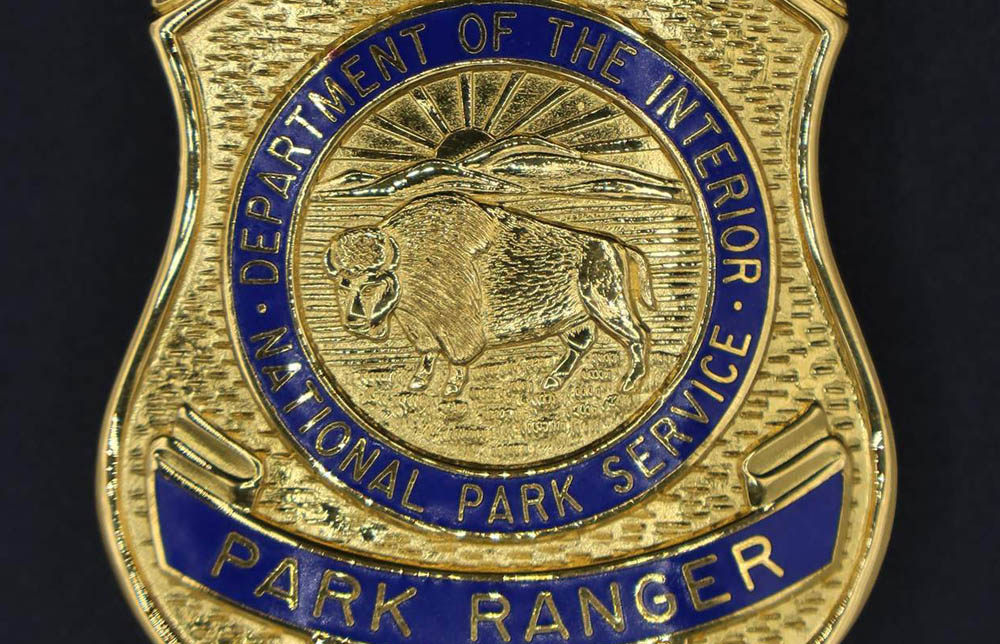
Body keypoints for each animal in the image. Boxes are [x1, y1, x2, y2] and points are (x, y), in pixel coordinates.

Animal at [324, 192, 660, 398]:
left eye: (373, 282)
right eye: (344, 282)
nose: (355, 322)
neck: (408, 255)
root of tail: (611, 244)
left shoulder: (456, 329)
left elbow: (458, 357)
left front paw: (451, 389)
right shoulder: (418, 325)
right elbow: (428, 353)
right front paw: (418, 382)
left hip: (606, 303)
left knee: (637, 335)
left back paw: (629, 384)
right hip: (575, 318)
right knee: (581, 344)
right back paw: (552, 381)